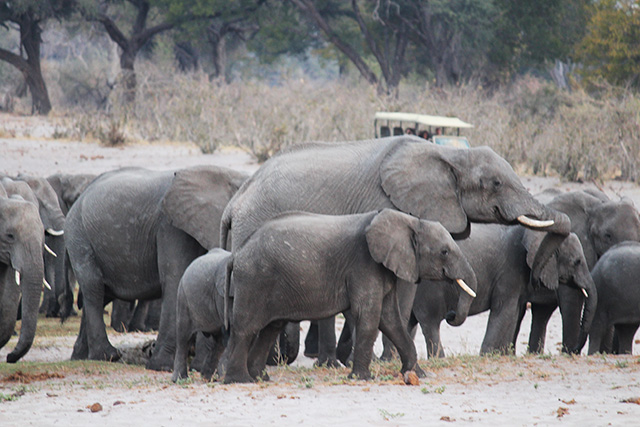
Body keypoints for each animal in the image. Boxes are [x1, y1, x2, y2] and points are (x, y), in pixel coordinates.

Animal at [172, 248, 232, 382]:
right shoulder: (221, 295)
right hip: (183, 298)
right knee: (183, 338)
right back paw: (179, 379)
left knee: (218, 342)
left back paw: (207, 377)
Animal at [220, 135, 571, 366]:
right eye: (496, 183)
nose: (452, 315)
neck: (447, 154)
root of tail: (234, 202)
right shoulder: (387, 207)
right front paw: (387, 361)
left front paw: (387, 359)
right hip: (254, 228)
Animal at [222, 209, 478, 384]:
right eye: (444, 252)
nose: (451, 313)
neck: (408, 221)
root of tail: (236, 254)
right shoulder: (364, 264)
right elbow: (370, 315)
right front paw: (362, 378)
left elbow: (390, 319)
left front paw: (417, 374)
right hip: (254, 280)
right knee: (247, 328)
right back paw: (240, 380)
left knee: (270, 328)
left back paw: (260, 378)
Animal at [411, 224, 596, 357]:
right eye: (577, 261)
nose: (451, 313)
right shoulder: (510, 270)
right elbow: (503, 311)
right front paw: (486, 356)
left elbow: (513, 314)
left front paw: (502, 355)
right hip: (428, 287)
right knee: (430, 322)